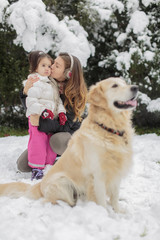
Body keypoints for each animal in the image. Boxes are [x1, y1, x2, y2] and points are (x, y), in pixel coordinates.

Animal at [0, 77, 138, 212]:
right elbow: (102, 203)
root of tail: (40, 185)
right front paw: (106, 215)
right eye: (114, 86)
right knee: (56, 201)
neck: (108, 128)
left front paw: (119, 212)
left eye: (125, 83)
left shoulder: (116, 173)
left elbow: (115, 197)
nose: (135, 87)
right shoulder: (98, 176)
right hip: (62, 182)